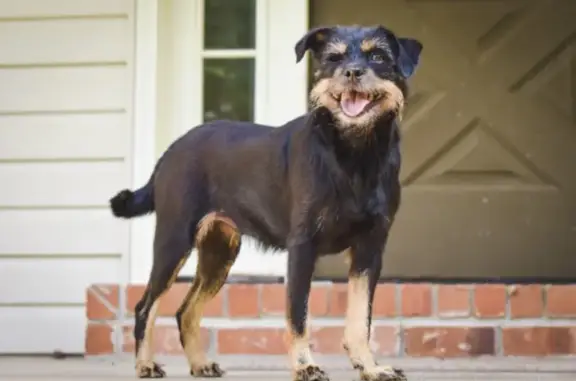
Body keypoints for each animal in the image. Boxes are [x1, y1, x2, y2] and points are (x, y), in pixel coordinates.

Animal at [109, 24, 424, 380]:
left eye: (378, 56)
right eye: (334, 58)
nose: (352, 72)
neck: (354, 154)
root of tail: (171, 151)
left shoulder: (370, 250)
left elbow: (360, 319)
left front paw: (370, 367)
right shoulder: (302, 247)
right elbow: (298, 315)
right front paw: (305, 366)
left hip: (219, 252)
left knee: (185, 310)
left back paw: (200, 363)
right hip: (174, 241)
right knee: (145, 306)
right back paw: (145, 364)